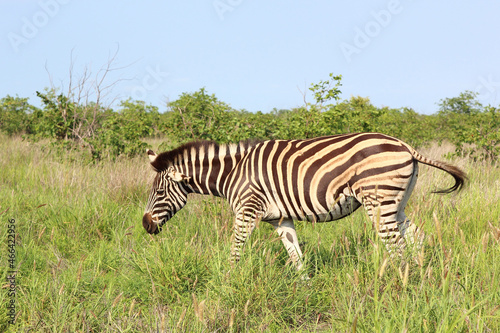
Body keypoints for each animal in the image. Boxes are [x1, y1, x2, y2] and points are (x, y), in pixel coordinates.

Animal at [143, 131, 466, 268]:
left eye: (158, 193)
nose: (145, 226)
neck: (234, 173)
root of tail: (405, 145)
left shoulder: (247, 211)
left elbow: (235, 250)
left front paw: (228, 281)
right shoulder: (280, 218)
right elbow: (295, 255)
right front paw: (305, 290)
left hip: (378, 202)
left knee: (396, 247)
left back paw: (399, 284)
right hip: (396, 204)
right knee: (417, 239)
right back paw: (420, 280)